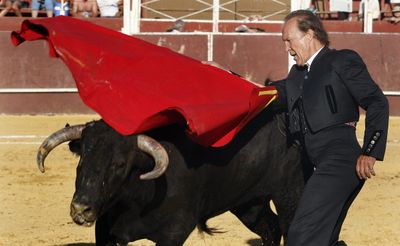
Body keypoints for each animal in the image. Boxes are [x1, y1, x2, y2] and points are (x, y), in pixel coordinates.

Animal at [37, 110, 304, 246]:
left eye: (119, 164)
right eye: (82, 157)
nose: (81, 209)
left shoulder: (175, 232)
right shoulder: (105, 231)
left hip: (289, 194)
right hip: (249, 204)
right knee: (270, 230)